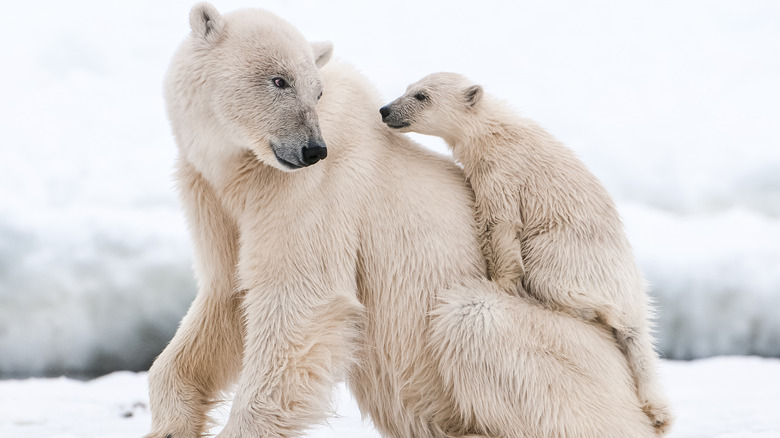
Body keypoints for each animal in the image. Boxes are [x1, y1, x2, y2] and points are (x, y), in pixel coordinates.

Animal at [380, 72, 672, 434]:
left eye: (422, 96)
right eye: (407, 88)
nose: (385, 109)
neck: (494, 131)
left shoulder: (503, 173)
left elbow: (501, 224)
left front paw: (502, 283)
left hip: (569, 254)